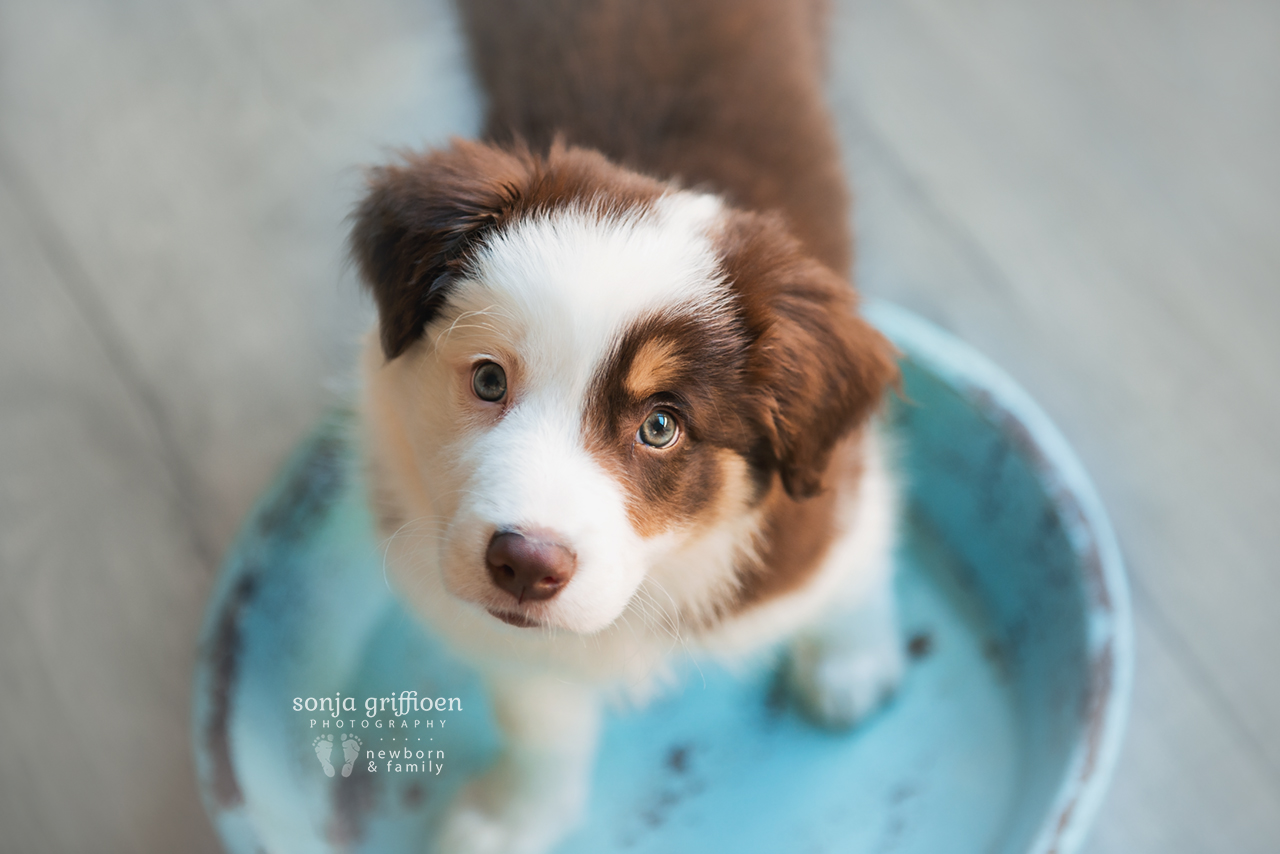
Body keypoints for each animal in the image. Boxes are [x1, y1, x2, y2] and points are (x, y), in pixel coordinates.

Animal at [355, 3, 906, 850]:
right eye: (488, 380)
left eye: (659, 427)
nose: (525, 565)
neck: (662, 569)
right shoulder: (508, 637)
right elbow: (538, 723)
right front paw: (514, 817)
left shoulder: (817, 505)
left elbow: (854, 558)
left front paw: (851, 661)